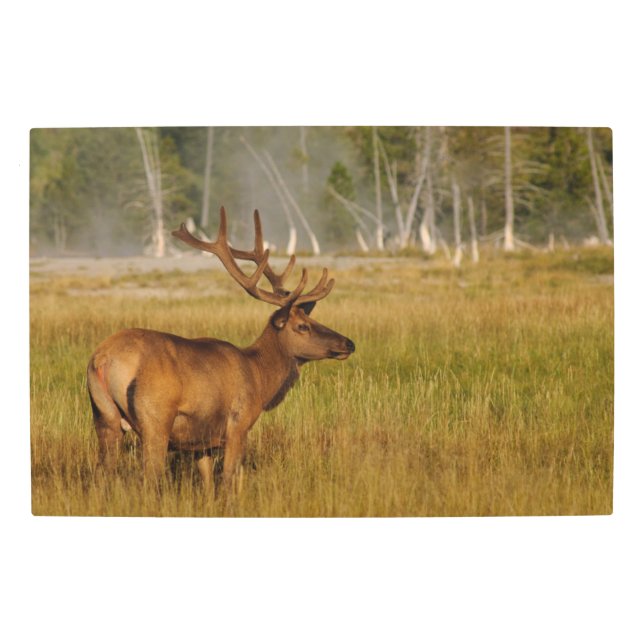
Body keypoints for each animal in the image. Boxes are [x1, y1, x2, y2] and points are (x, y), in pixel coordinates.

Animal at [86, 207, 355, 491]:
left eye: (313, 320)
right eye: (303, 326)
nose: (348, 343)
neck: (259, 378)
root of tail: (103, 359)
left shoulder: (201, 442)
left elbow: (207, 484)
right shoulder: (238, 424)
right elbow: (228, 480)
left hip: (104, 416)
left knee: (101, 473)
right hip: (155, 419)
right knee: (149, 476)